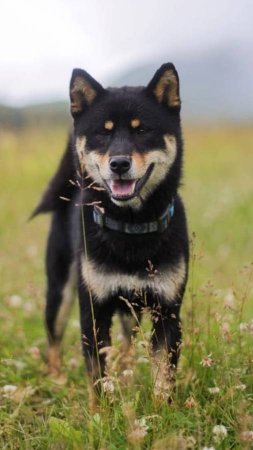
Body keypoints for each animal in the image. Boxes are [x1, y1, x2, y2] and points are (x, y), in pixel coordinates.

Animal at [33, 62, 188, 398]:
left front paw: (162, 409)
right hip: (60, 289)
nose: (119, 163)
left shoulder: (167, 311)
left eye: (142, 130)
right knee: (53, 340)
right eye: (102, 133)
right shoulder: (93, 311)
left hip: (131, 309)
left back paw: (127, 378)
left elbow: (162, 378)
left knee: (128, 346)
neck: (130, 227)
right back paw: (56, 379)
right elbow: (98, 378)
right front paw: (102, 409)